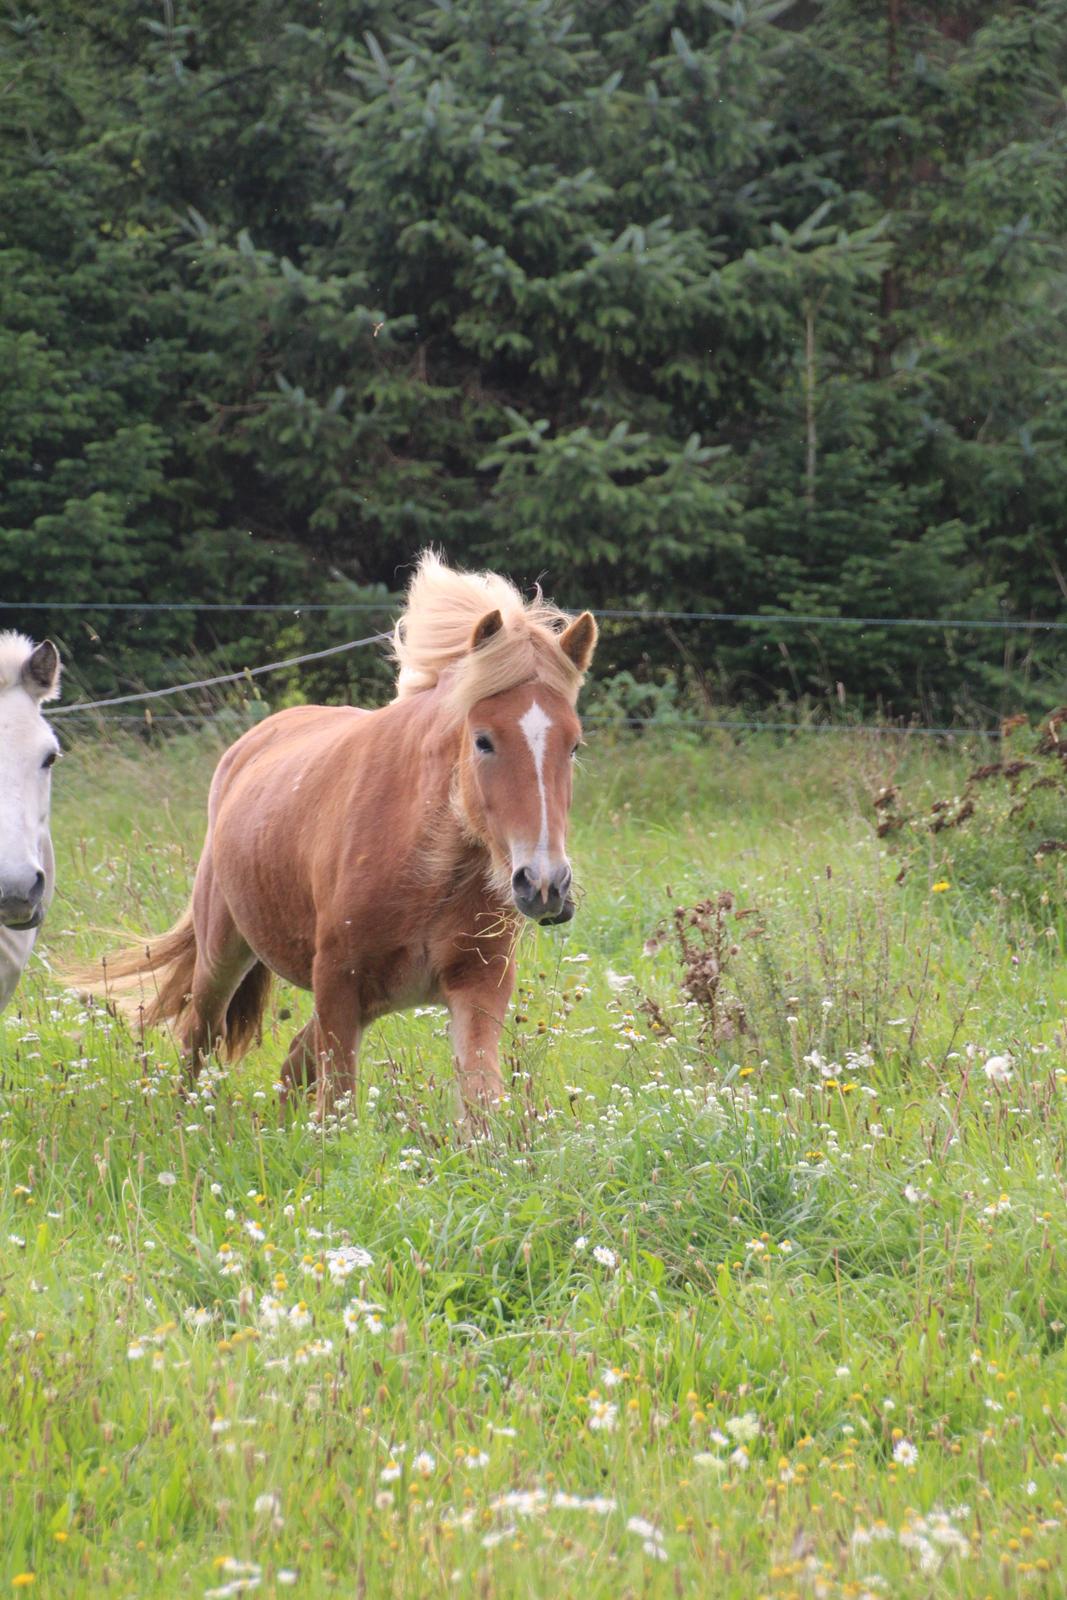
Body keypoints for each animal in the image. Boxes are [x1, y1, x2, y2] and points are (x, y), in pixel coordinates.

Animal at [81, 560, 601, 1113]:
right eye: (483, 740)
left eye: (573, 745)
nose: (544, 885)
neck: (431, 870)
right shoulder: (336, 982)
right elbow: (340, 1105)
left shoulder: (478, 988)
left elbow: (480, 1106)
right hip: (223, 955)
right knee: (197, 1037)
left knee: (292, 1059)